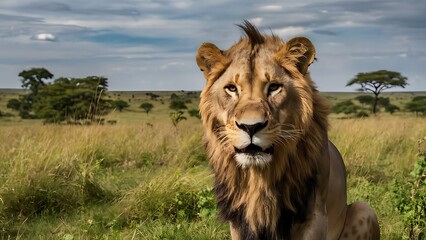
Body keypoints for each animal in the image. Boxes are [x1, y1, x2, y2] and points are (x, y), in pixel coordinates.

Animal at [196, 21, 380, 240]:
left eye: (274, 87)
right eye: (231, 89)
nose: (251, 126)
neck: (260, 175)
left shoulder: (315, 213)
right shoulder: (238, 217)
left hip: (364, 209)